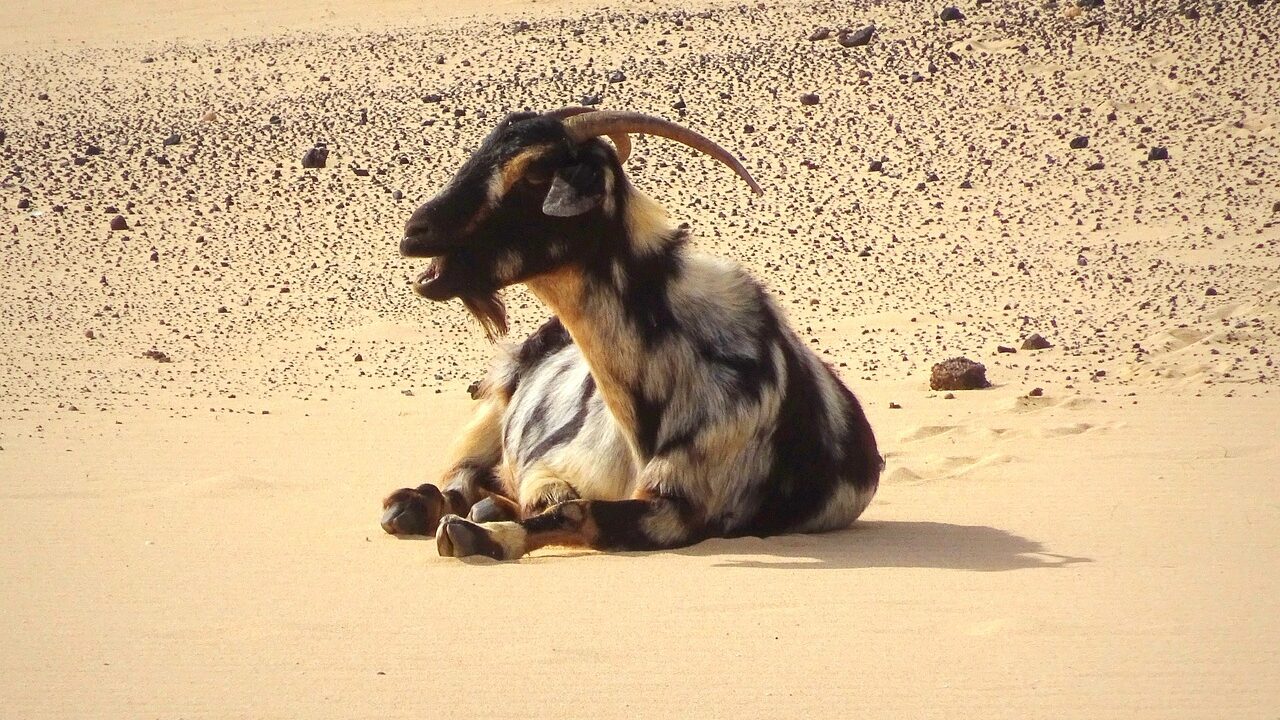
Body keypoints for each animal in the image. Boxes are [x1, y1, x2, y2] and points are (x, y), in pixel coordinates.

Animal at [378, 106, 880, 558]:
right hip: (491, 405)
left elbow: (576, 512)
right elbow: (547, 497)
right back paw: (410, 507)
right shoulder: (551, 466)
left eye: (535, 174)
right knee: (457, 479)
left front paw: (480, 534)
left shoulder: (680, 508)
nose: (414, 231)